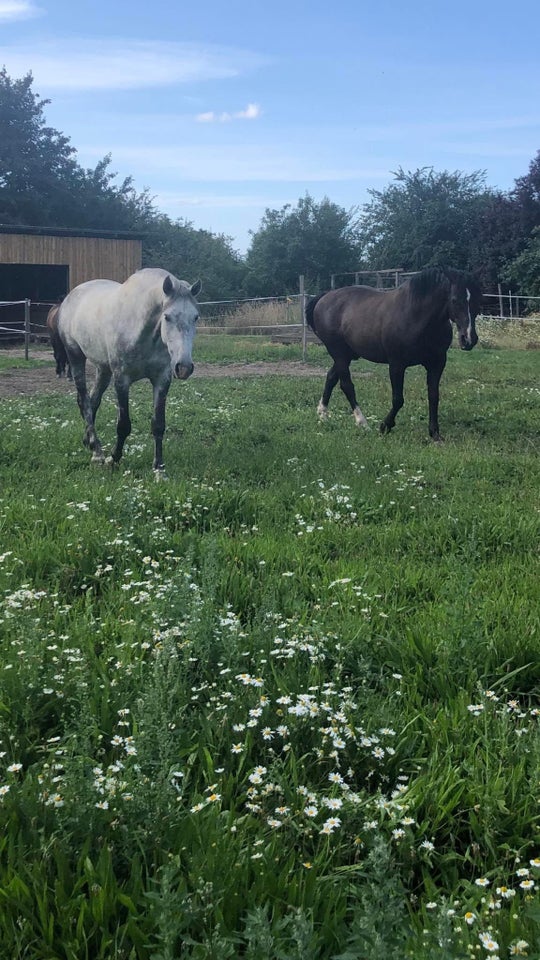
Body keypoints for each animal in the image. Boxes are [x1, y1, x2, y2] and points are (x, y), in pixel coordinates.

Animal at [57, 268, 200, 470]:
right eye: (167, 316)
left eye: (195, 317)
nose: (184, 367)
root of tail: (71, 297)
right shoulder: (122, 379)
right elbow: (123, 425)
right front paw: (114, 458)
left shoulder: (162, 379)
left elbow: (158, 424)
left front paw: (158, 467)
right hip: (76, 357)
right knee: (84, 401)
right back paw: (97, 452)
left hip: (103, 369)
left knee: (93, 401)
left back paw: (88, 442)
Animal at [306, 266, 484, 438]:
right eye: (454, 300)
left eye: (477, 299)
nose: (469, 339)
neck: (416, 317)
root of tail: (324, 297)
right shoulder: (397, 364)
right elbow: (398, 399)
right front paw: (385, 426)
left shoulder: (437, 363)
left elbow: (434, 396)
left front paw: (434, 433)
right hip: (339, 354)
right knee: (346, 385)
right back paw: (362, 423)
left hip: (346, 355)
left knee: (331, 377)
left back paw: (323, 415)